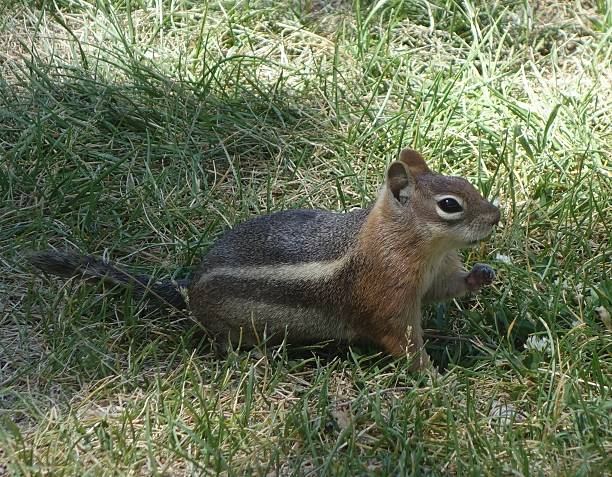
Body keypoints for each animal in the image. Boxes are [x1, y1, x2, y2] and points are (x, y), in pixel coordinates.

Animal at [27, 148, 502, 368]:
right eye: (450, 205)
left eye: (467, 183)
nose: (497, 215)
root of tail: (189, 289)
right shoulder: (386, 295)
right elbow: (400, 339)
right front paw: (433, 378)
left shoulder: (434, 275)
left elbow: (447, 289)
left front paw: (481, 274)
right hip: (232, 327)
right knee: (222, 343)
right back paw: (254, 359)